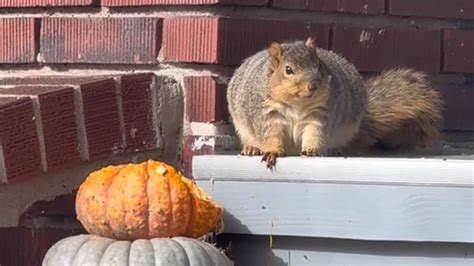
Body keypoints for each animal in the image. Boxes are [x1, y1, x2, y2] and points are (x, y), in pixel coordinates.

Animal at [226, 37, 444, 168]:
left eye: (319, 66)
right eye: (288, 70)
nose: (313, 86)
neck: (298, 104)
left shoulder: (319, 113)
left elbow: (315, 132)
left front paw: (312, 150)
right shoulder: (267, 114)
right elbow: (270, 134)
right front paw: (272, 151)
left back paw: (336, 149)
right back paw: (251, 148)